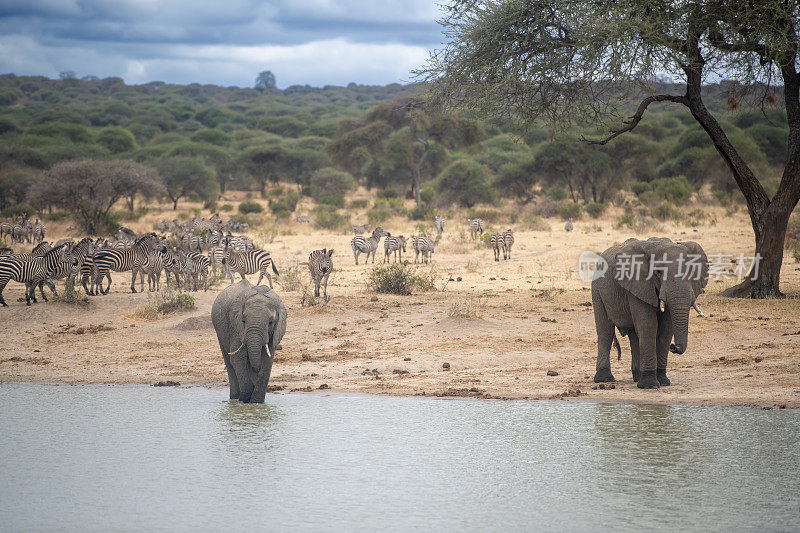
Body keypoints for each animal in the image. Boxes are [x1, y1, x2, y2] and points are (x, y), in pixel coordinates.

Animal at [592, 237, 708, 386]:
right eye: (658, 272)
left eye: (692, 271)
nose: (673, 347)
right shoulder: (638, 284)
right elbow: (648, 325)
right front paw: (650, 385)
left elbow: (666, 329)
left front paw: (663, 382)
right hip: (597, 290)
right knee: (605, 332)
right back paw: (605, 379)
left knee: (634, 335)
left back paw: (637, 377)